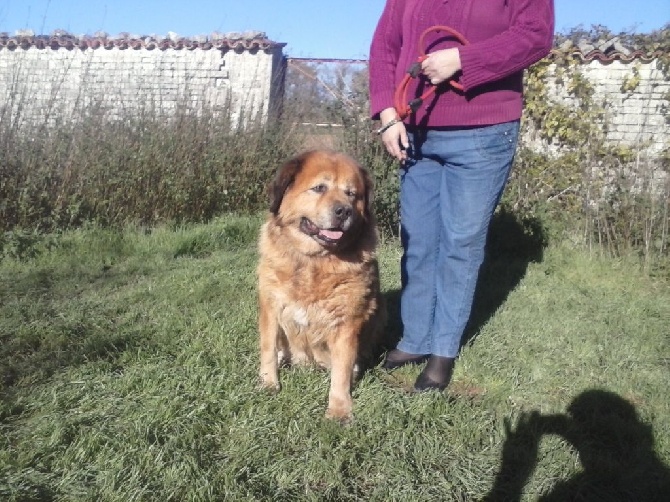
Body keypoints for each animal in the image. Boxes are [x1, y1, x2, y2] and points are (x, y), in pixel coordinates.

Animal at [258, 148, 386, 420]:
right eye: (319, 188)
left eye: (352, 194)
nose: (344, 211)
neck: (314, 261)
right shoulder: (271, 306)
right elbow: (268, 348)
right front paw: (268, 383)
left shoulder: (347, 322)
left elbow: (342, 370)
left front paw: (339, 409)